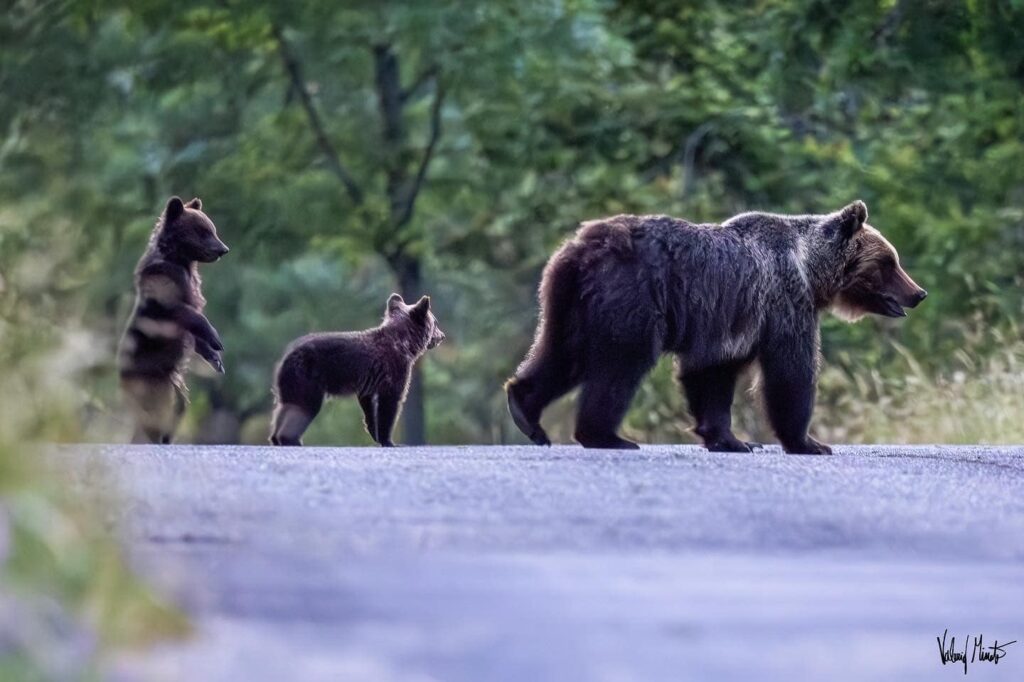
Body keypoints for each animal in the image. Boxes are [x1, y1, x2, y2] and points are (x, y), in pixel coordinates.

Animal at [505, 201, 929, 456]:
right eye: (889, 262)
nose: (918, 293)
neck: (811, 271)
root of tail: (582, 247)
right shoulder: (783, 302)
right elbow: (789, 372)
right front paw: (809, 442)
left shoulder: (731, 323)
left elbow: (712, 375)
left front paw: (732, 440)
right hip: (631, 296)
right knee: (621, 364)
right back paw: (608, 436)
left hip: (569, 303)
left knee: (562, 354)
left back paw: (526, 412)